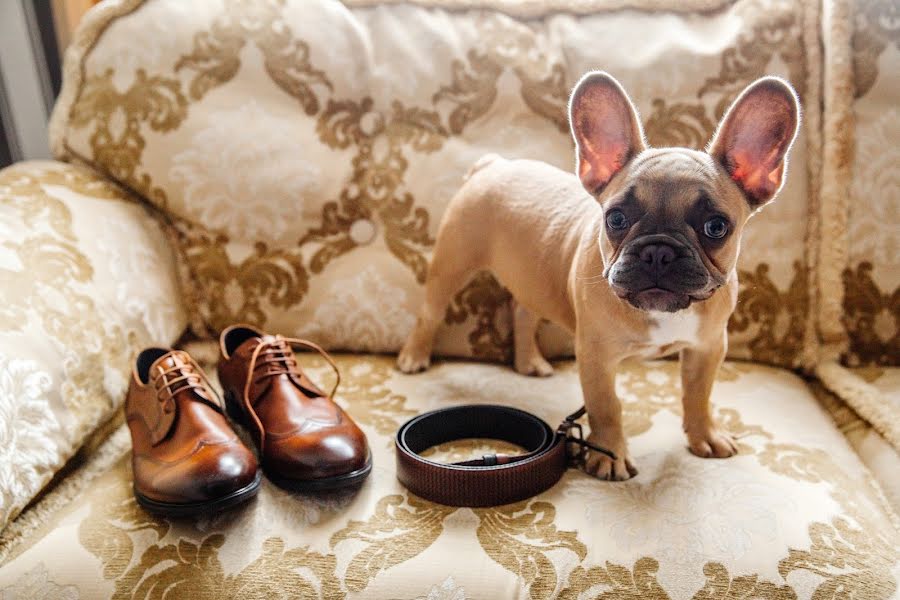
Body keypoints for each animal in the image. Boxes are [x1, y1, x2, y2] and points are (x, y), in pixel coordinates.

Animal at [398, 71, 800, 482]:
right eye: (616, 218)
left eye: (716, 226)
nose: (659, 251)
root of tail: (494, 165)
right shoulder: (595, 355)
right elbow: (606, 404)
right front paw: (609, 454)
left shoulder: (708, 347)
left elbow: (698, 393)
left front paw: (704, 434)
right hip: (451, 263)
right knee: (430, 312)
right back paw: (414, 357)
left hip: (530, 278)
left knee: (524, 313)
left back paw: (530, 362)